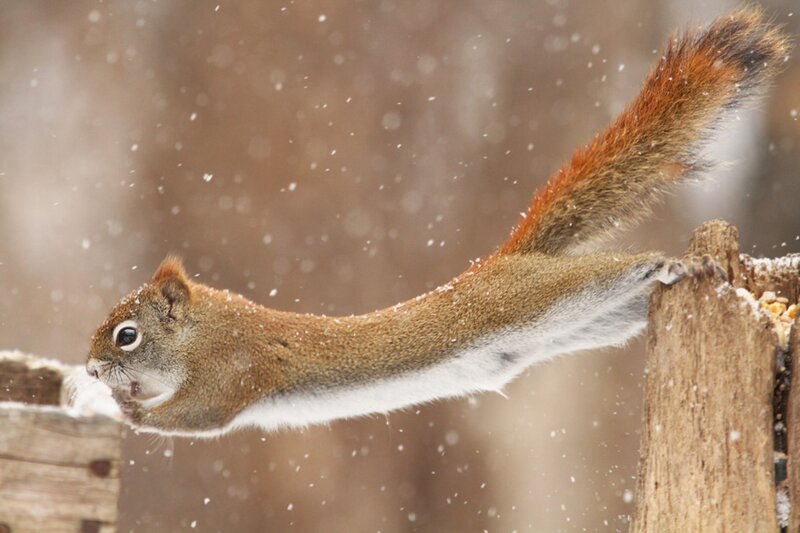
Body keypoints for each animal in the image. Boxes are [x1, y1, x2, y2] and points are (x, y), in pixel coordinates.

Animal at [87, 8, 789, 437]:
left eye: (126, 336)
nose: (91, 370)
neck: (201, 332)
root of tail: (504, 261)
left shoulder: (232, 372)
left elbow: (197, 418)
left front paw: (125, 409)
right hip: (587, 323)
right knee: (625, 306)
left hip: (542, 296)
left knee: (615, 270)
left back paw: (673, 261)